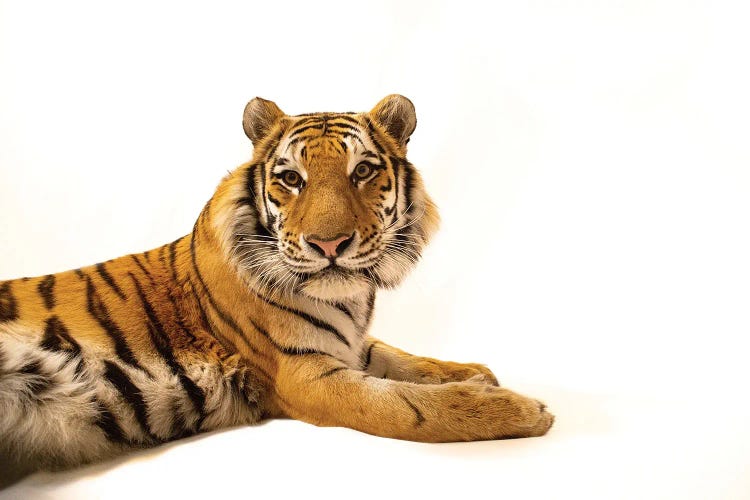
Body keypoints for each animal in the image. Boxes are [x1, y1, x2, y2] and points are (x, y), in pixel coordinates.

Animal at [0, 94, 552, 476]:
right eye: (291, 178)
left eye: (363, 170)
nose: (329, 244)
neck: (349, 301)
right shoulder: (305, 374)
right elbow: (412, 406)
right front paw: (522, 409)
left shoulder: (351, 344)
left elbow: (407, 360)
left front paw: (475, 373)